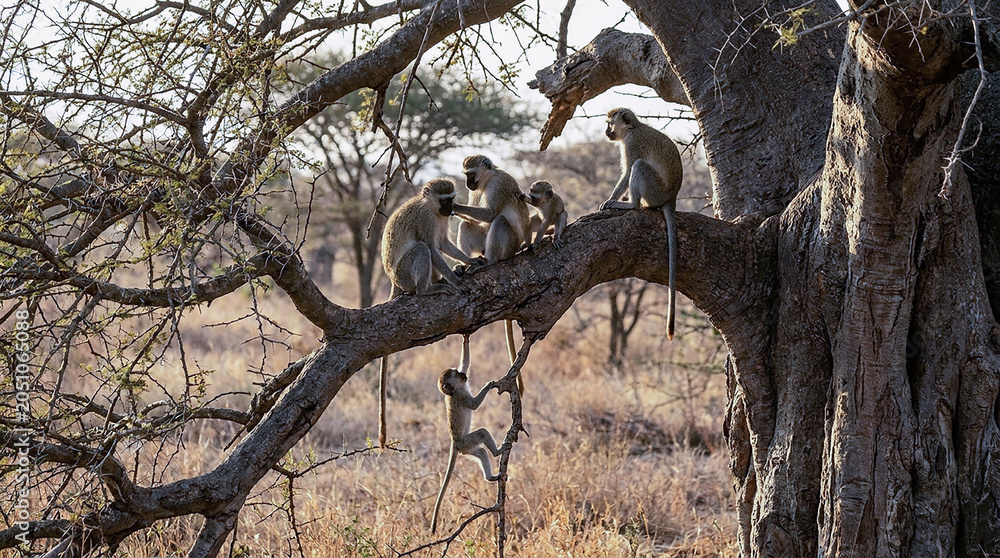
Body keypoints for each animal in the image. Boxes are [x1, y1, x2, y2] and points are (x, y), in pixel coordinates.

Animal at [378, 178, 474, 447]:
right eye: (445, 200)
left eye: (452, 198)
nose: (451, 210)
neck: (432, 209)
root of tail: (394, 281)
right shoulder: (426, 220)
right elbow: (432, 247)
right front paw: (456, 281)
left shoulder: (440, 221)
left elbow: (442, 245)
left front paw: (471, 262)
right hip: (405, 273)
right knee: (422, 249)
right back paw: (428, 289)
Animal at [430, 333, 501, 534]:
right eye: (456, 376)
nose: (464, 375)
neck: (454, 392)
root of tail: (455, 443)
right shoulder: (461, 396)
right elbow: (474, 405)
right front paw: (488, 385)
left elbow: (466, 361)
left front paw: (466, 337)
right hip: (467, 441)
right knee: (483, 433)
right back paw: (498, 452)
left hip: (467, 449)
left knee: (481, 452)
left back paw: (490, 476)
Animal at [452, 154, 532, 394]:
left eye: (470, 174)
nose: (467, 183)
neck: (487, 181)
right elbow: (474, 217)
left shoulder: (498, 185)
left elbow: (489, 214)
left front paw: (453, 205)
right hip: (481, 245)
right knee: (467, 224)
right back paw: (465, 265)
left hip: (509, 245)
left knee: (499, 221)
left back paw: (488, 263)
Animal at [600, 107, 683, 340]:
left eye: (610, 123)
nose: (606, 132)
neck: (632, 127)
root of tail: (671, 196)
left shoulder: (632, 143)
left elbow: (628, 171)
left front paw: (612, 199)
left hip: (655, 190)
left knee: (639, 166)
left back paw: (633, 204)